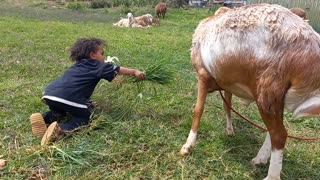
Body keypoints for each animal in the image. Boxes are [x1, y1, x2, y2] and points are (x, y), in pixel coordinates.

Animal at [180, 3, 320, 179]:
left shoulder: (203, 75)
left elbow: (198, 110)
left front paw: (188, 145)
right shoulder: (228, 84)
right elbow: (227, 106)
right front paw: (229, 130)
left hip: (267, 90)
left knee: (279, 134)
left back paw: (271, 175)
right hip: (275, 98)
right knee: (275, 132)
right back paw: (260, 159)